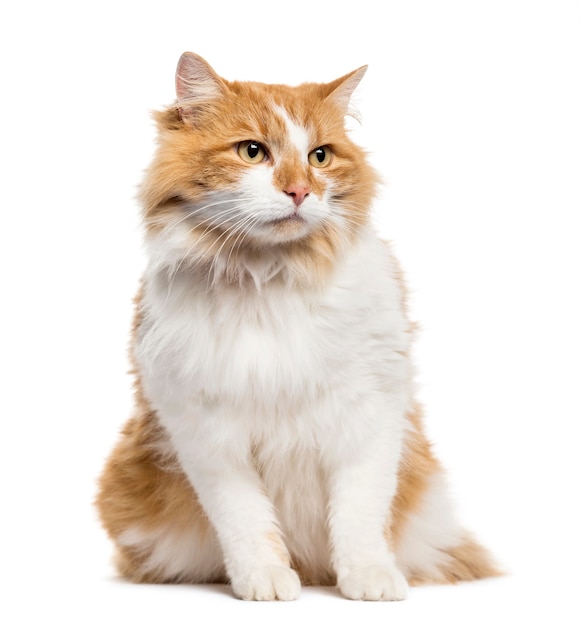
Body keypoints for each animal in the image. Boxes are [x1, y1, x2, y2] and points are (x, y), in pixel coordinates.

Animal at [96, 51, 498, 596]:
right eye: (252, 152)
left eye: (320, 157)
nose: (300, 190)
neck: (270, 277)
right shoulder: (205, 432)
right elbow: (247, 522)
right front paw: (264, 579)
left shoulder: (370, 413)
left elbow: (358, 514)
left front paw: (368, 578)